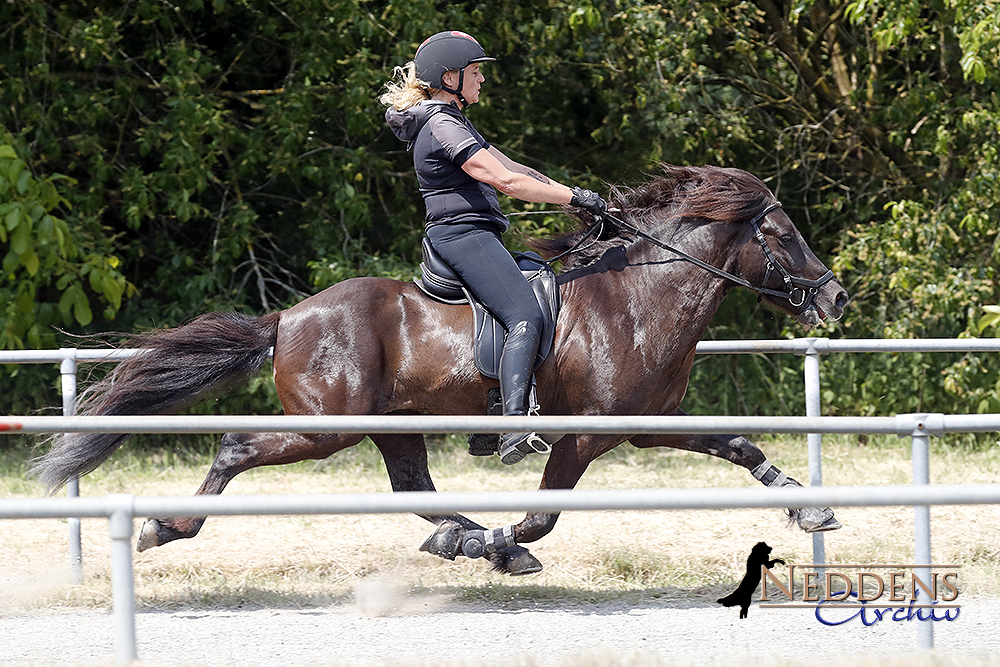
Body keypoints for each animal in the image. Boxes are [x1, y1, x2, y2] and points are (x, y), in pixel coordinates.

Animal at [31, 166, 848, 576]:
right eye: (782, 234)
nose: (835, 296)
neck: (638, 297)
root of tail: (288, 318)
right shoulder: (587, 434)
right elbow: (546, 511)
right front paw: (513, 537)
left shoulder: (649, 423)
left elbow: (737, 444)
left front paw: (806, 506)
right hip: (326, 429)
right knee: (238, 448)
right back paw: (166, 526)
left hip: (394, 427)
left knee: (417, 494)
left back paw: (466, 539)